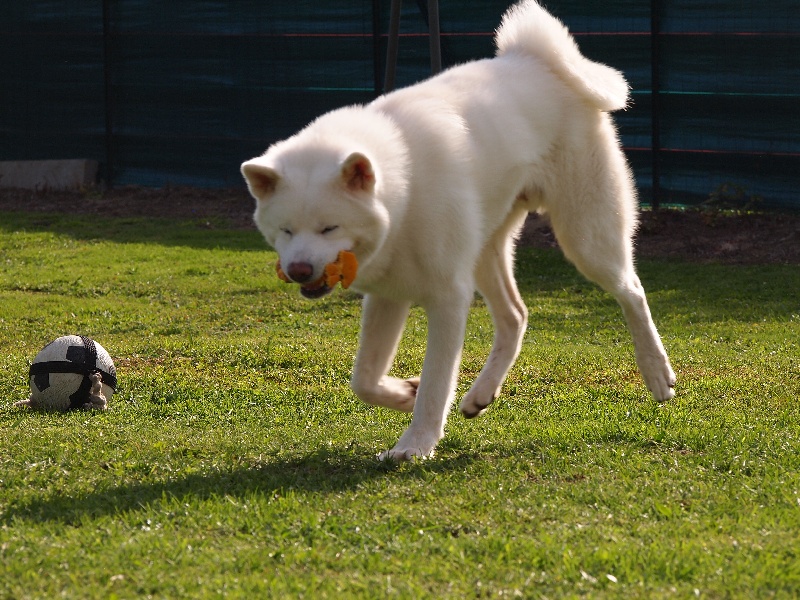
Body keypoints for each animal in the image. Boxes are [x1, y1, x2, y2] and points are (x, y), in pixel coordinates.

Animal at [242, 0, 676, 460]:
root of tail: (535, 58)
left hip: (586, 238)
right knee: (516, 316)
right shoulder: (388, 296)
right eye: (286, 231)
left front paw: (415, 444)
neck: (404, 193)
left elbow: (436, 381)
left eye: (329, 228)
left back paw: (657, 374)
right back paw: (480, 394)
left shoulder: (448, 298)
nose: (299, 271)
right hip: (487, 251)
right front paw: (404, 394)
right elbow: (364, 380)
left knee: (632, 290)